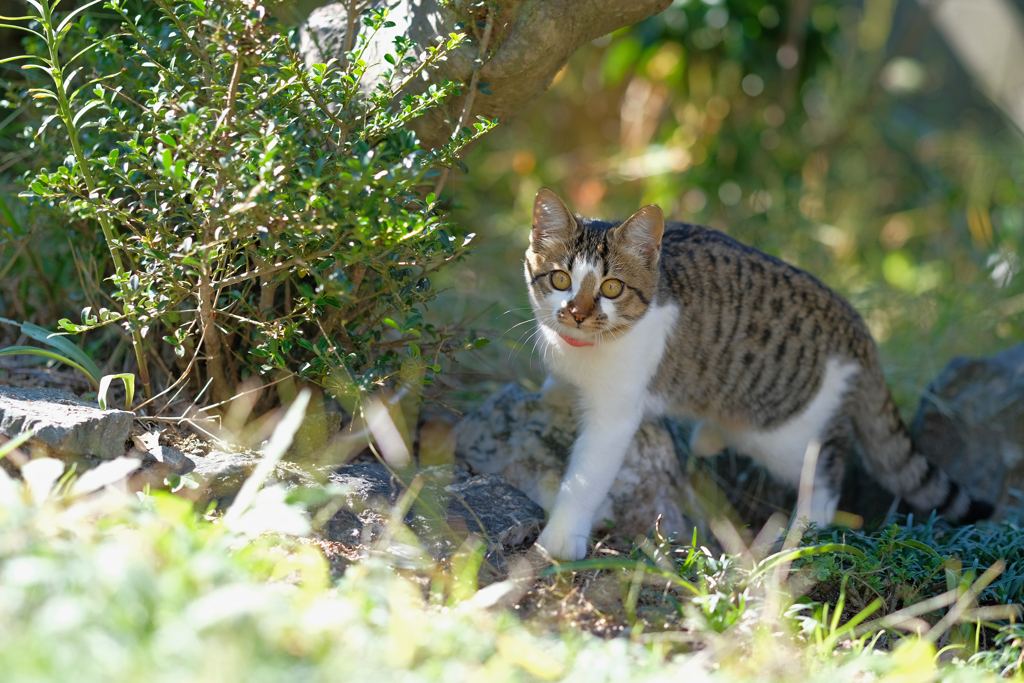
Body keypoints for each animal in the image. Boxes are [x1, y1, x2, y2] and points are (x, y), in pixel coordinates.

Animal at [528, 187, 991, 561]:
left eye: (611, 288)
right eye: (560, 279)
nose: (577, 313)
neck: (579, 350)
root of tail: (858, 327)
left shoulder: (616, 415)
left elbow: (587, 477)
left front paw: (562, 537)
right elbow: (558, 387)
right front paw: (556, 391)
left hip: (784, 431)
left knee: (828, 463)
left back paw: (802, 530)